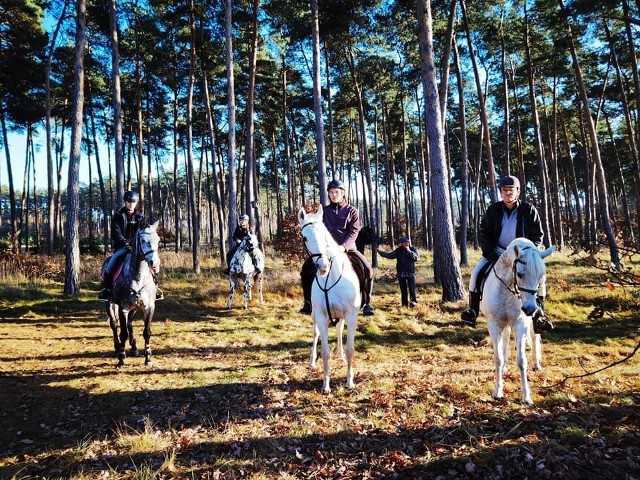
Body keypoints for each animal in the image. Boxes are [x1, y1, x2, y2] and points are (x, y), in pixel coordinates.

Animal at [104, 220, 161, 368]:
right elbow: (122, 332)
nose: (154, 263)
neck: (138, 276)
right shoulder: (122, 307)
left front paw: (148, 358)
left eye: (158, 240)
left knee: (129, 322)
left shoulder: (149, 307)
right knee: (114, 324)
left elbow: (147, 332)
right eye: (143, 240)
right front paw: (121, 359)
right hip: (110, 304)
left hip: (134, 307)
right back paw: (117, 346)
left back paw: (134, 347)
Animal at [298, 206, 362, 394]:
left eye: (324, 235)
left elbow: (350, 349)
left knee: (340, 330)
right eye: (304, 237)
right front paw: (325, 385)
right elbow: (325, 351)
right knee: (315, 333)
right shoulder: (321, 315)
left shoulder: (351, 315)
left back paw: (340, 356)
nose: (323, 266)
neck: (331, 277)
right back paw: (312, 361)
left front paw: (349, 382)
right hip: (314, 315)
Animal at [480, 237, 556, 404]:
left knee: (534, 338)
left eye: (540, 276)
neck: (507, 289)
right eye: (520, 274)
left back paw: (537, 364)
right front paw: (497, 391)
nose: (529, 308)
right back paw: (505, 367)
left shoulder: (520, 325)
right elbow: (498, 358)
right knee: (506, 339)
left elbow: (522, 361)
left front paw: (526, 396)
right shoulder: (494, 325)